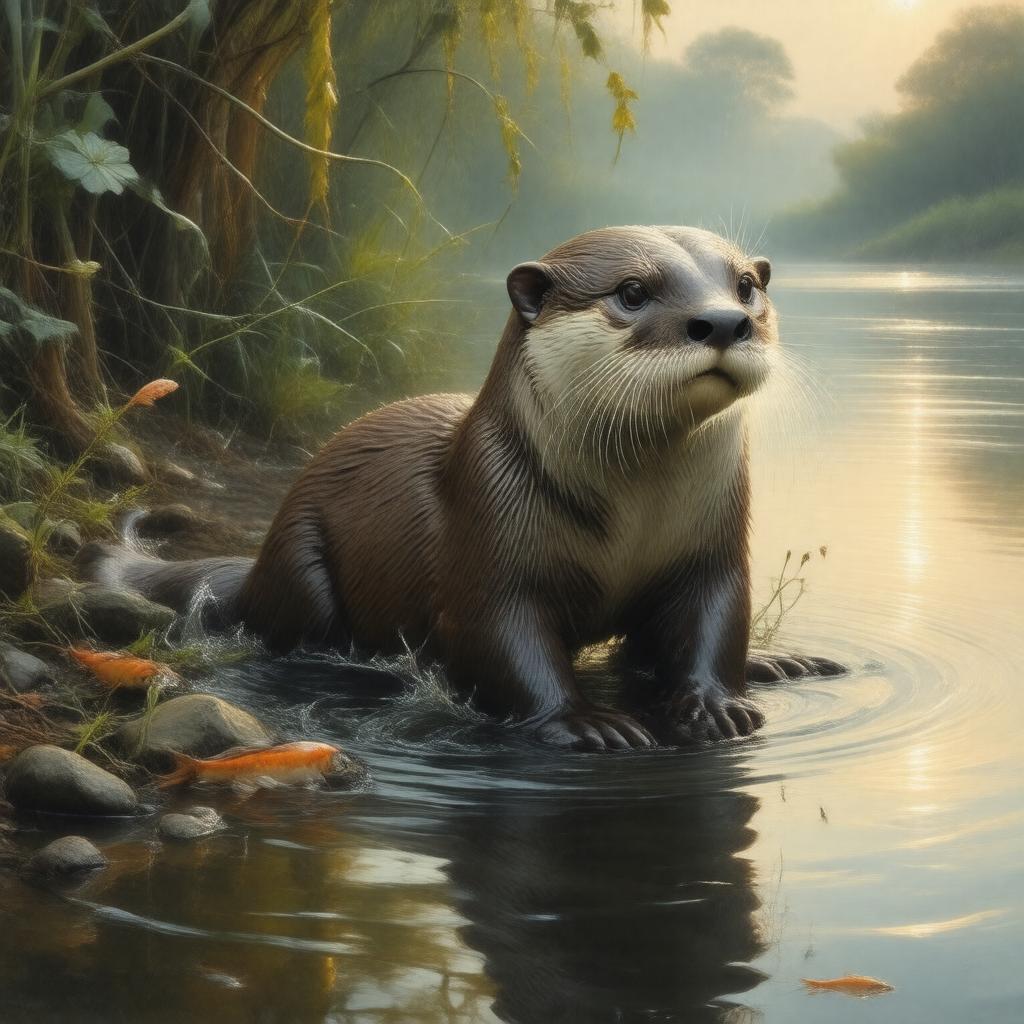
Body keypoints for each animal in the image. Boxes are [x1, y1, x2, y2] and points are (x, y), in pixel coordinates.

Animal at [91, 226, 842, 749]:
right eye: (632, 291)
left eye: (745, 287)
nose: (725, 322)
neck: (633, 520)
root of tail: (257, 562)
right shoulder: (488, 529)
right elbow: (503, 636)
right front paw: (586, 721)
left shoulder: (711, 547)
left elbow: (715, 618)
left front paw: (717, 703)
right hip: (303, 560)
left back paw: (781, 662)